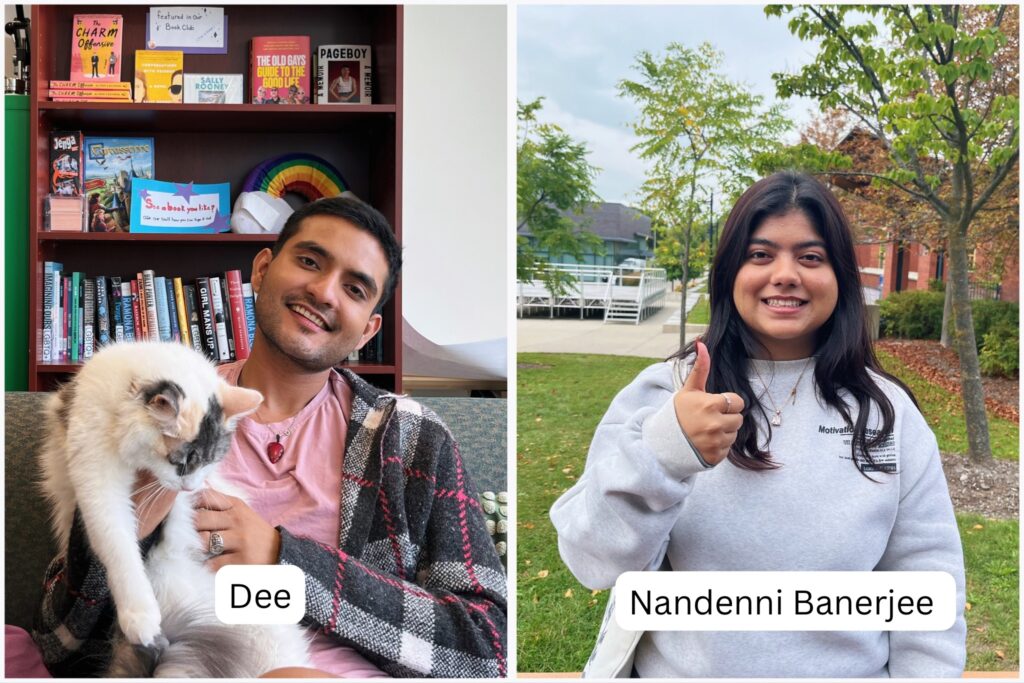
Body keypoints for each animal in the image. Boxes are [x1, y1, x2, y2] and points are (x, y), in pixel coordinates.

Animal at [38, 342, 311, 679]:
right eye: (179, 463)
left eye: (209, 460)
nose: (190, 488)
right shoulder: (96, 476)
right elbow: (118, 546)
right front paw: (140, 617)